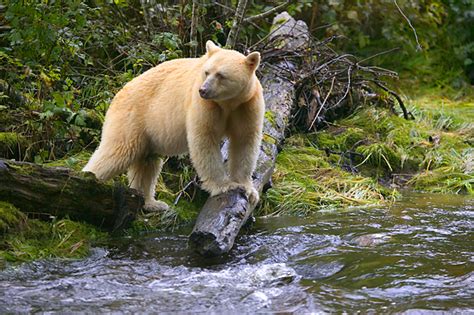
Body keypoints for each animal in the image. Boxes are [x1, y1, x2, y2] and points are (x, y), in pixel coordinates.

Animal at [83, 40, 264, 211]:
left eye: (221, 75)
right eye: (206, 72)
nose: (203, 90)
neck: (228, 103)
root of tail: (118, 94)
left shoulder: (246, 105)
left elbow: (244, 142)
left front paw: (248, 189)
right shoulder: (205, 106)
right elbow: (204, 141)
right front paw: (225, 186)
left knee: (148, 163)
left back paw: (151, 203)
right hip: (131, 118)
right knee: (118, 152)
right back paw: (88, 180)